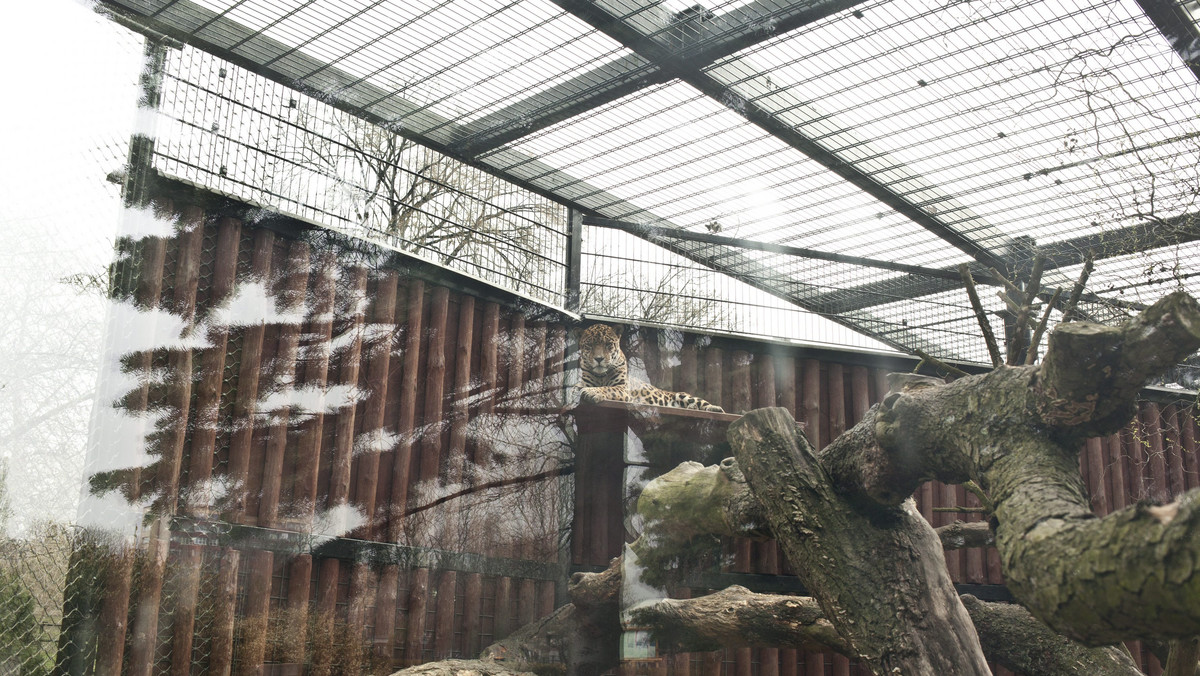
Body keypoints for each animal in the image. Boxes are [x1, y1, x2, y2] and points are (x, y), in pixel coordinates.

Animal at [578, 321, 724, 413]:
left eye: (608, 344)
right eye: (589, 345)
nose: (599, 359)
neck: (601, 376)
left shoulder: (622, 388)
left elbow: (607, 388)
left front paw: (592, 392)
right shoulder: (582, 384)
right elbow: (580, 388)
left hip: (682, 395)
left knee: (702, 403)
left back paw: (713, 408)